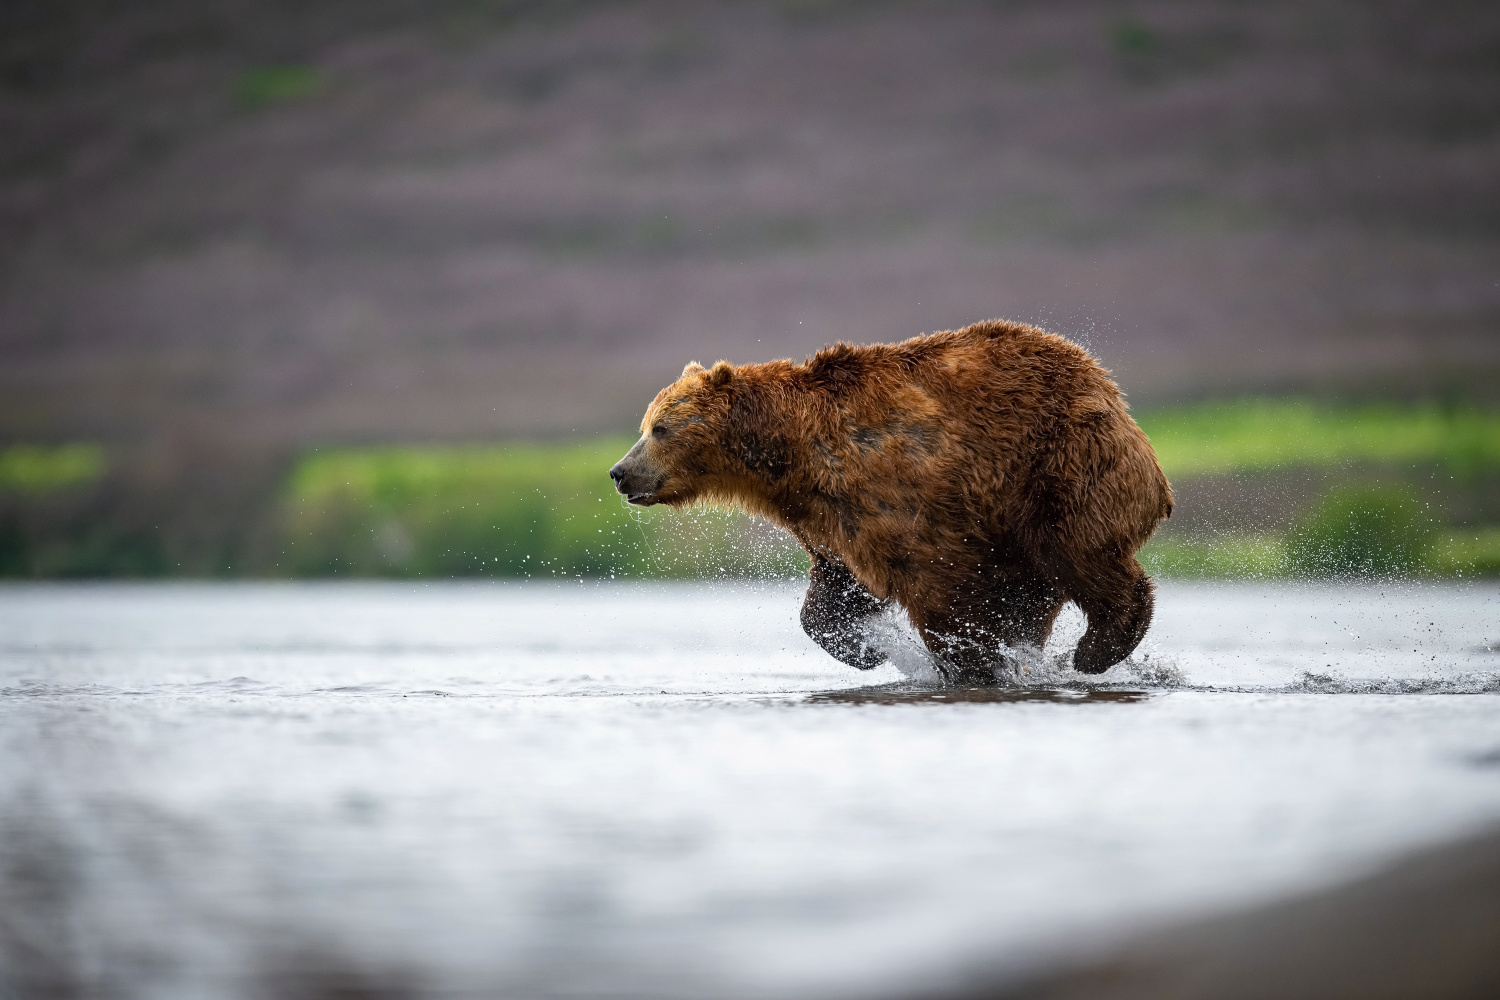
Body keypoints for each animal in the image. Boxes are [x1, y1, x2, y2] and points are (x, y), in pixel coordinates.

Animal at [609, 319, 1170, 680]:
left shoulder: (902, 495)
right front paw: (865, 649)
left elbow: (944, 588)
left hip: (1058, 464)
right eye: (645, 426)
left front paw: (972, 662)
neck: (787, 456)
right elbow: (835, 593)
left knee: (1079, 553)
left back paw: (1095, 650)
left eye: (659, 428)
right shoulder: (827, 518)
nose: (619, 473)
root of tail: (1108, 389)